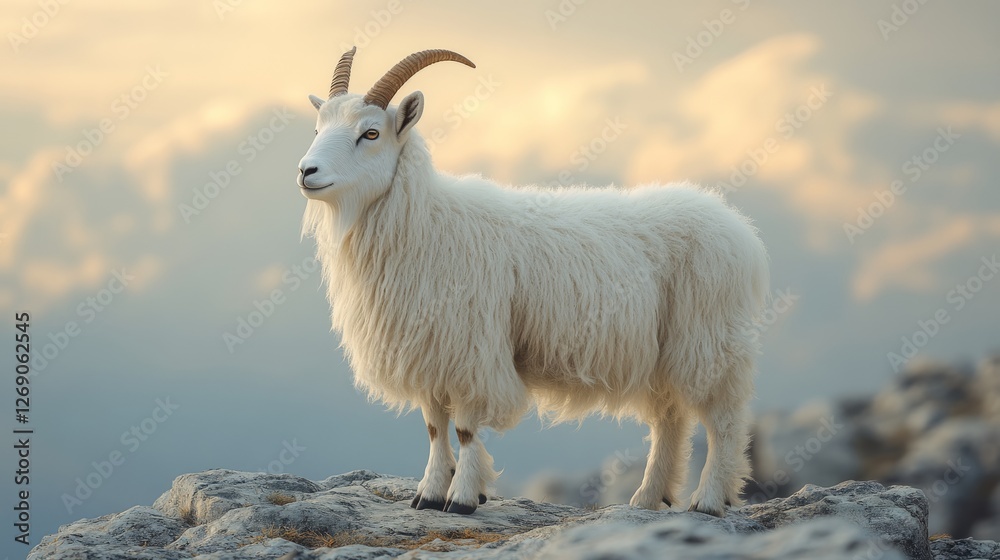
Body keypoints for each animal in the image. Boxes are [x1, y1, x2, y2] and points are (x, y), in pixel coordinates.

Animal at [296, 47, 769, 516]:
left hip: (708, 342)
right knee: (670, 419)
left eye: (371, 133)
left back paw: (708, 501)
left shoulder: (472, 351)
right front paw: (428, 494)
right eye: (318, 128)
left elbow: (465, 428)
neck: (427, 220)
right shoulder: (433, 348)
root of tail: (740, 230)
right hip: (663, 354)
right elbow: (433, 425)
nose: (306, 171)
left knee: (724, 421)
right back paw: (648, 499)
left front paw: (462, 499)